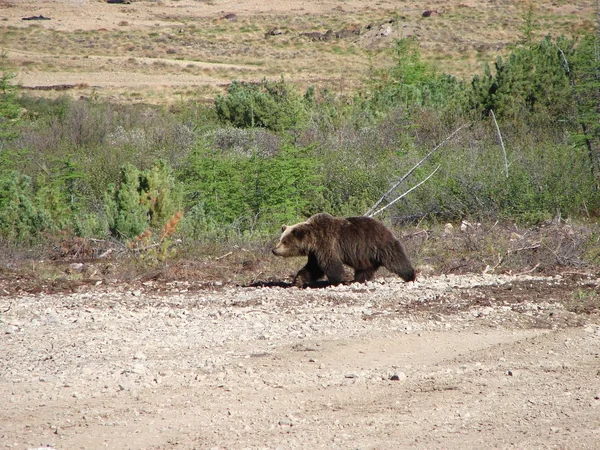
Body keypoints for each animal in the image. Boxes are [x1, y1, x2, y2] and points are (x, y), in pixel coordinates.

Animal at [274, 214, 418, 284]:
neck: (313, 240)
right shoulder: (315, 253)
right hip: (365, 254)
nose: (274, 250)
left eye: (285, 241)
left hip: (378, 245)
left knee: (396, 259)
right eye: (280, 239)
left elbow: (331, 264)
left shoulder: (327, 244)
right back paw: (358, 279)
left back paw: (410, 275)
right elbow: (313, 268)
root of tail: (385, 227)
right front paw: (298, 279)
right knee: (365, 268)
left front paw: (336, 280)